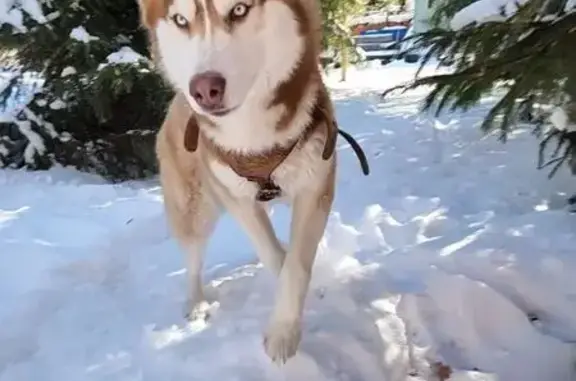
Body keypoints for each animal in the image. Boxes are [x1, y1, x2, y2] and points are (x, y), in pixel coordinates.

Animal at [137, 0, 366, 364]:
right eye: (180, 20)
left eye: (240, 9)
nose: (203, 90)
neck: (255, 140)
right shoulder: (237, 198)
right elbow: (276, 256)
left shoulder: (315, 185)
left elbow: (295, 264)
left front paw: (285, 328)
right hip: (194, 210)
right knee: (193, 258)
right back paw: (197, 303)